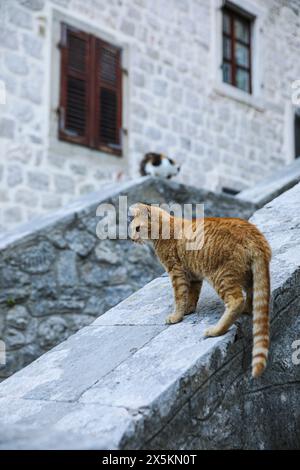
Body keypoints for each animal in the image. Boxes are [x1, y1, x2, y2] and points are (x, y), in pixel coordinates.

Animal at [129, 203, 272, 378]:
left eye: (137, 228)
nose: (132, 239)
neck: (165, 229)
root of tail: (255, 235)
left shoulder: (176, 272)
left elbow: (179, 297)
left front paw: (176, 316)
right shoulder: (193, 275)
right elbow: (191, 295)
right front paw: (188, 309)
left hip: (221, 276)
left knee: (236, 301)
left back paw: (216, 330)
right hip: (249, 276)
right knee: (252, 296)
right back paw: (246, 310)